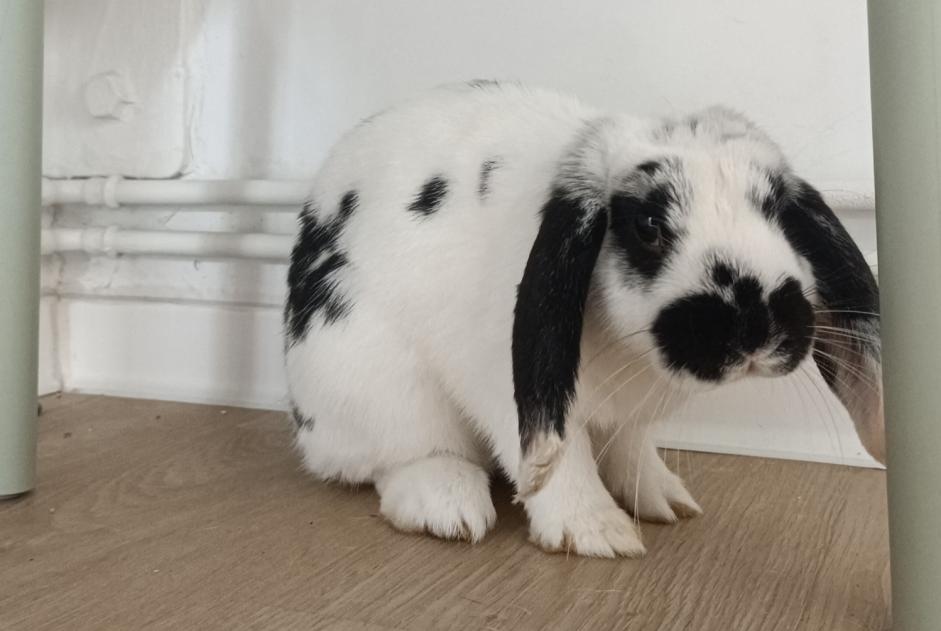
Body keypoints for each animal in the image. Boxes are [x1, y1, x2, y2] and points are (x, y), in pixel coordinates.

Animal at [283, 81, 882, 558]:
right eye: (647, 226)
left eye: (777, 210)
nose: (756, 327)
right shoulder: (519, 392)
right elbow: (562, 457)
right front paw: (596, 533)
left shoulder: (625, 417)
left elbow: (631, 447)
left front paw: (660, 498)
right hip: (372, 381)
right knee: (398, 458)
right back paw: (448, 506)